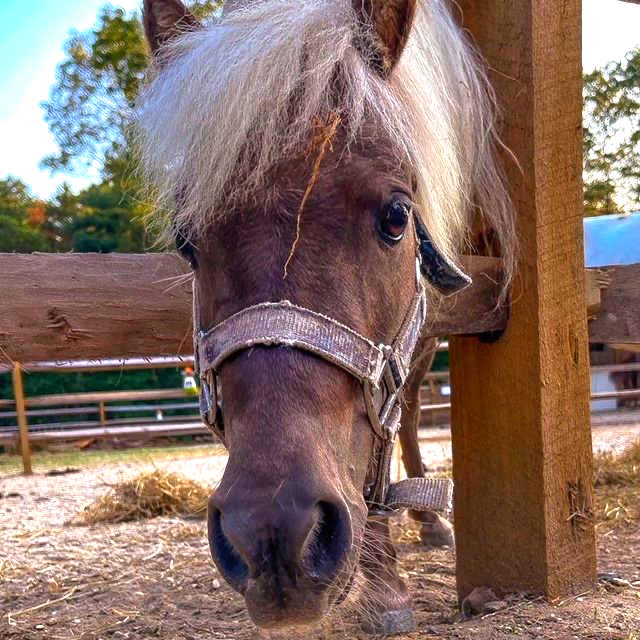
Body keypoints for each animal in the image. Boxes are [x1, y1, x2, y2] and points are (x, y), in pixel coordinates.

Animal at [136, 0, 516, 633]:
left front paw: (395, 567)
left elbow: (395, 421)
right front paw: (386, 580)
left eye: (397, 215)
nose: (270, 535)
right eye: (187, 241)